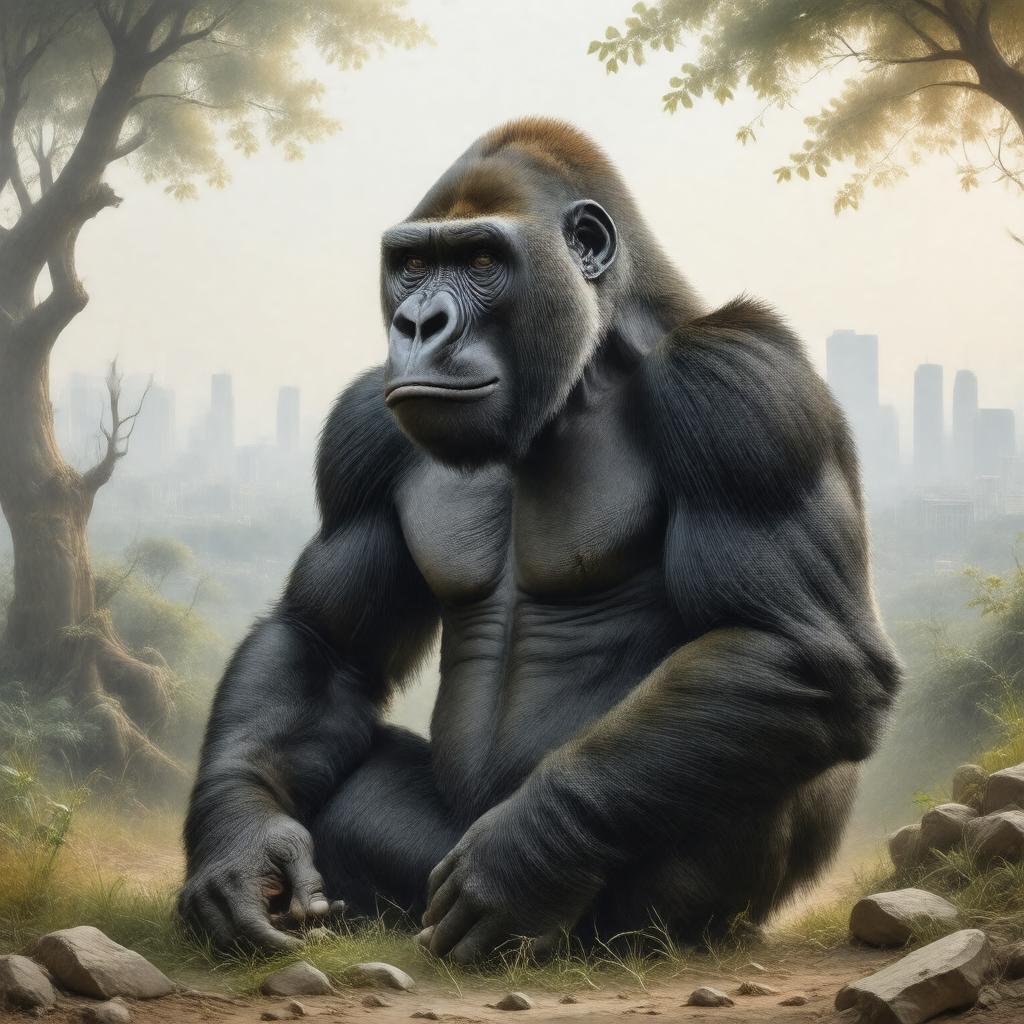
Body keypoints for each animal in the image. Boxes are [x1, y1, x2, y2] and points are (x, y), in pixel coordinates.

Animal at [179, 117, 900, 962]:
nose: (418, 324)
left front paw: (528, 851)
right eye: (414, 265)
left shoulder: (743, 389)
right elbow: (321, 641)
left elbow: (798, 645)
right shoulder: (361, 429)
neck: (590, 362)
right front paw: (243, 843)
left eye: (482, 262)